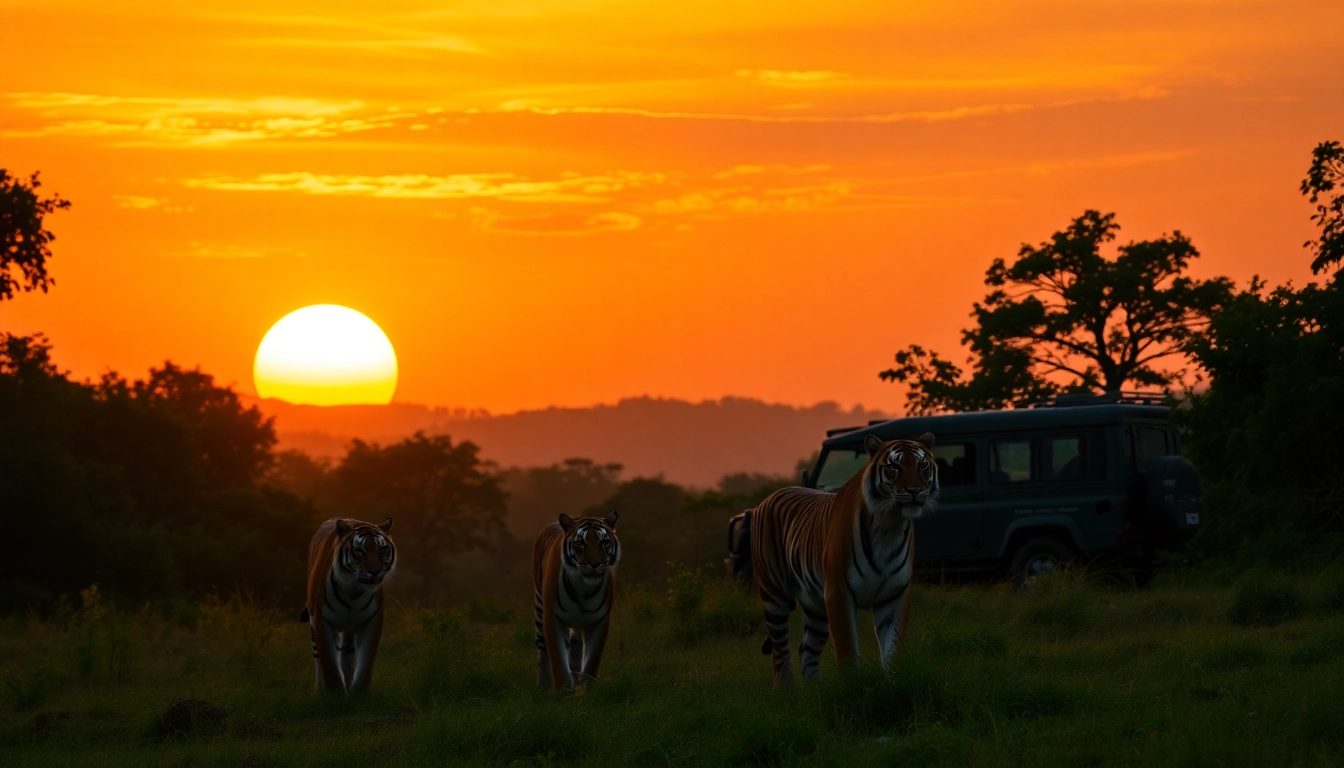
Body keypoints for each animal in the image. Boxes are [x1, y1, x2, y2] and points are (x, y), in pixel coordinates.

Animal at [298, 517, 396, 695]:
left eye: (382, 549)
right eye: (358, 551)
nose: (374, 572)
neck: (353, 589)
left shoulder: (373, 619)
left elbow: (366, 661)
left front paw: (359, 692)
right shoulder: (321, 620)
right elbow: (329, 662)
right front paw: (336, 693)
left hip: (348, 629)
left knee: (347, 656)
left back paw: (349, 687)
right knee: (318, 658)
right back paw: (321, 690)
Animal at [533, 512, 621, 691]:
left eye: (604, 542)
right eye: (580, 543)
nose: (595, 564)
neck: (584, 588)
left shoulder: (600, 620)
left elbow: (592, 660)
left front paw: (587, 689)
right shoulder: (552, 617)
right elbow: (558, 660)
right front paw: (564, 691)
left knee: (575, 649)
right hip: (539, 609)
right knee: (542, 652)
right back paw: (542, 685)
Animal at [751, 432, 937, 686]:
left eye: (922, 465)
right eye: (894, 467)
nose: (914, 490)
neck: (889, 523)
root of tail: (769, 497)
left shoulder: (895, 593)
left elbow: (893, 648)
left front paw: (893, 683)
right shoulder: (838, 592)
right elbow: (847, 648)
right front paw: (853, 687)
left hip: (816, 605)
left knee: (806, 650)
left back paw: (815, 691)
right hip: (774, 596)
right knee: (780, 653)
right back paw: (786, 690)